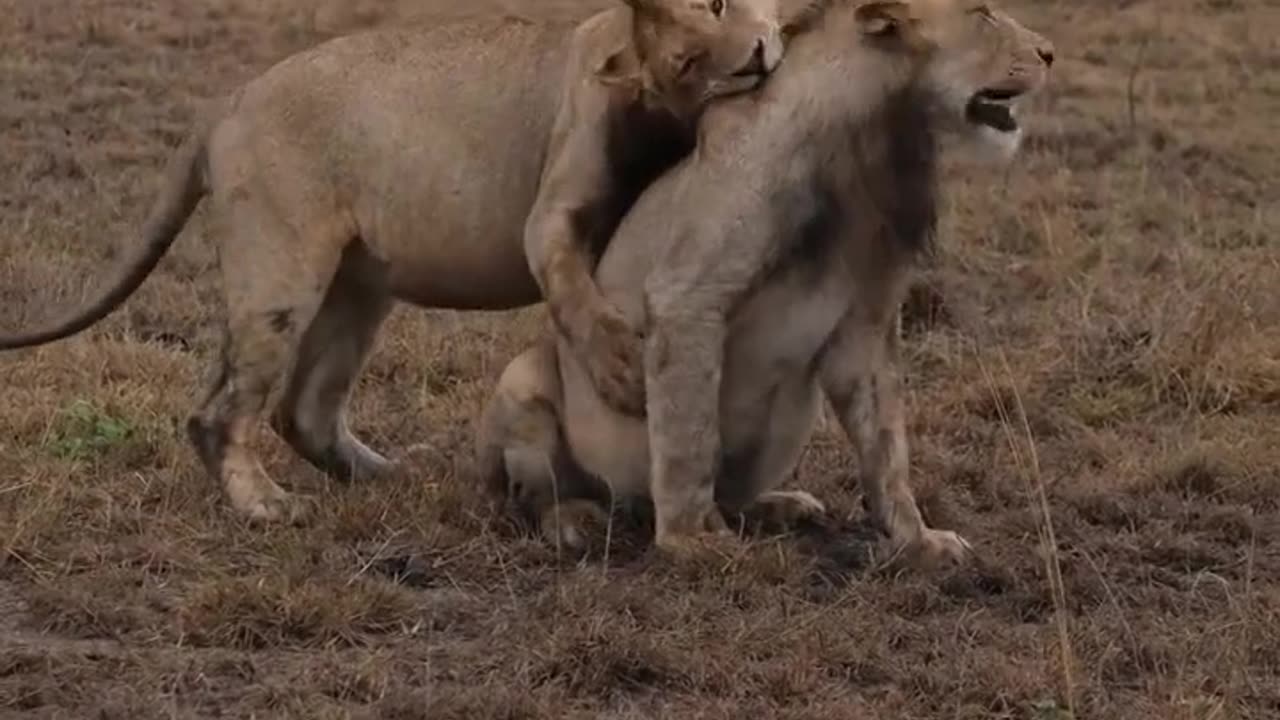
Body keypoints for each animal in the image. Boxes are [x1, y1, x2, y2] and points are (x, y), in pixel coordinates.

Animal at [0, 0, 783, 522]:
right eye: (689, 61)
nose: (757, 55)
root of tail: (225, 103)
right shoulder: (551, 216)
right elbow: (575, 294)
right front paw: (622, 372)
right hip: (280, 271)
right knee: (220, 412)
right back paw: (265, 505)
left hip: (357, 289)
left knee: (302, 410)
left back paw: (389, 477)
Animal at [476, 0, 1055, 567]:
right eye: (982, 14)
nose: (1049, 52)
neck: (871, 139)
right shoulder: (687, 295)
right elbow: (689, 436)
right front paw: (691, 540)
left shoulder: (867, 324)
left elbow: (886, 447)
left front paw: (919, 540)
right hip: (523, 382)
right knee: (540, 494)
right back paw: (576, 521)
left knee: (736, 492)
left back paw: (780, 506)